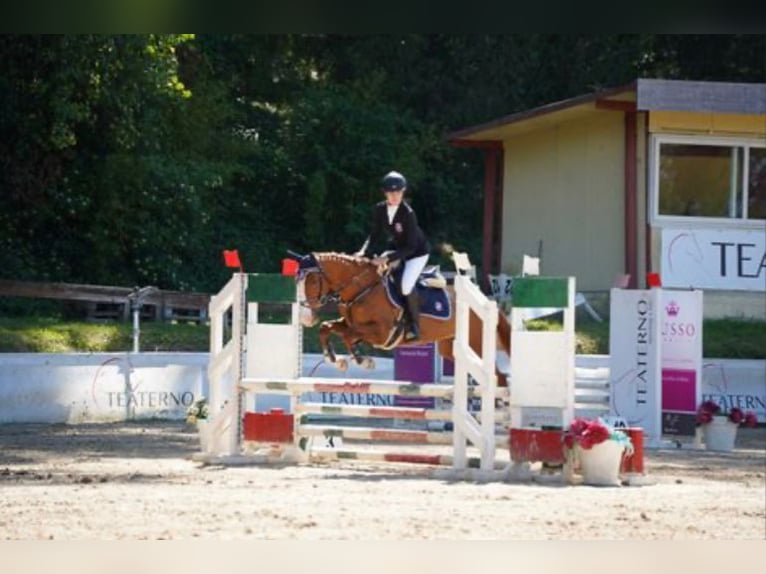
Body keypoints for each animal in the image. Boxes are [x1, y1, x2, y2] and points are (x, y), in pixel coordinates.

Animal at [289, 251, 511, 382]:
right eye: (297, 282)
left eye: (312, 281)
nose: (306, 318)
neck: (362, 289)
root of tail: (485, 301)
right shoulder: (349, 323)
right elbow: (327, 328)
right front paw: (335, 359)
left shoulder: (382, 333)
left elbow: (348, 336)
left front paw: (361, 361)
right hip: (451, 348)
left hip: (476, 344)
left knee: (497, 376)